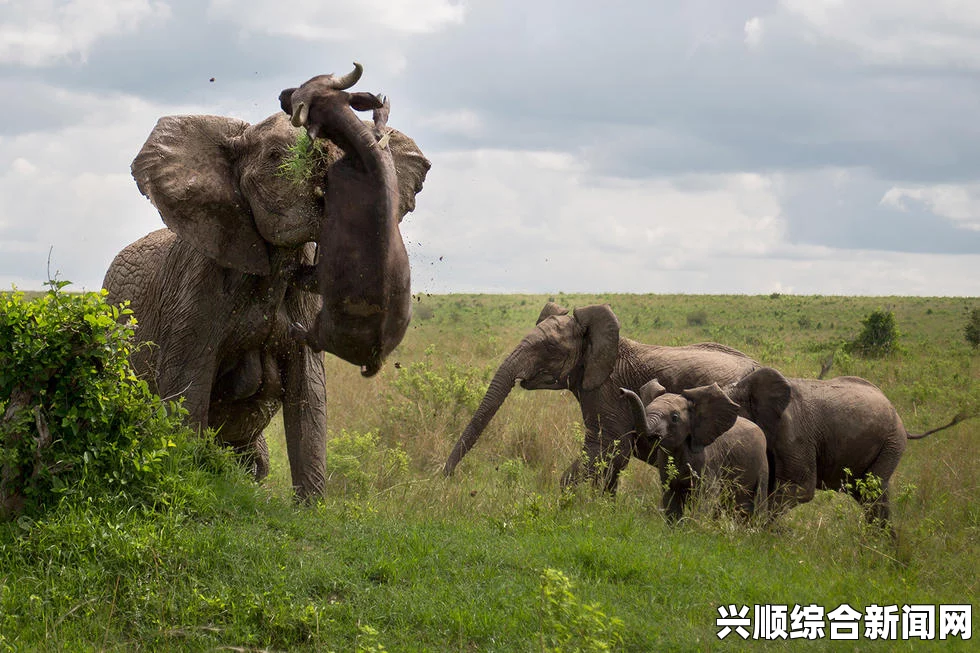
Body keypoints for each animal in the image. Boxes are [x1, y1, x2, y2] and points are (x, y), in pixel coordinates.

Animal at [101, 63, 430, 496]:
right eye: (276, 158)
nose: (377, 104)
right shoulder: (196, 291)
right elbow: (186, 391)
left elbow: (310, 398)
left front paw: (312, 506)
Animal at [728, 366, 972, 528]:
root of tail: (901, 422)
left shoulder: (793, 434)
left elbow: (800, 487)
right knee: (868, 496)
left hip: (891, 443)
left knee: (873, 494)